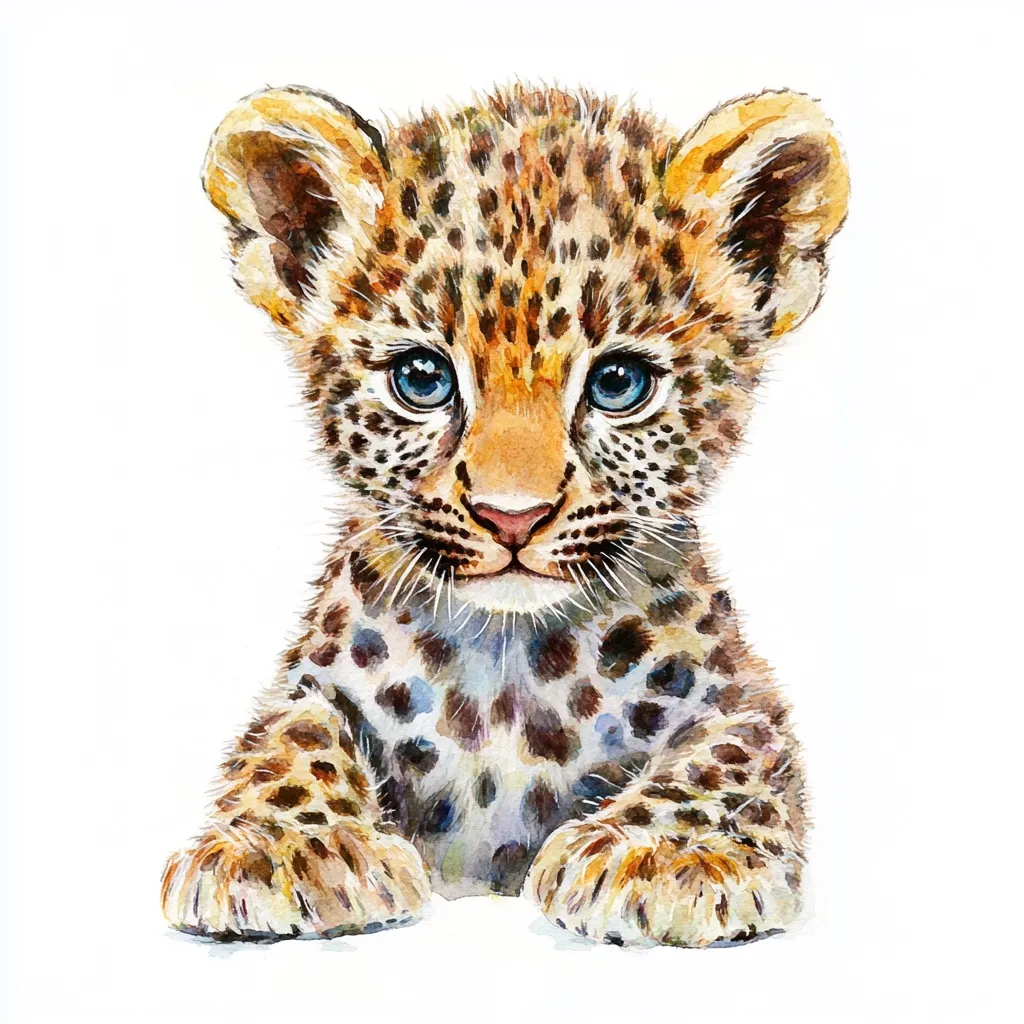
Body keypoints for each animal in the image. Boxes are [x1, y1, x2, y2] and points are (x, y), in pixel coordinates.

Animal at [161, 82, 848, 948]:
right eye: (422, 378)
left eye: (619, 383)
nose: (511, 517)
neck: (505, 677)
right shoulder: (310, 683)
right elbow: (291, 735)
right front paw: (283, 845)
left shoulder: (741, 698)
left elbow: (726, 751)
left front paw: (666, 854)